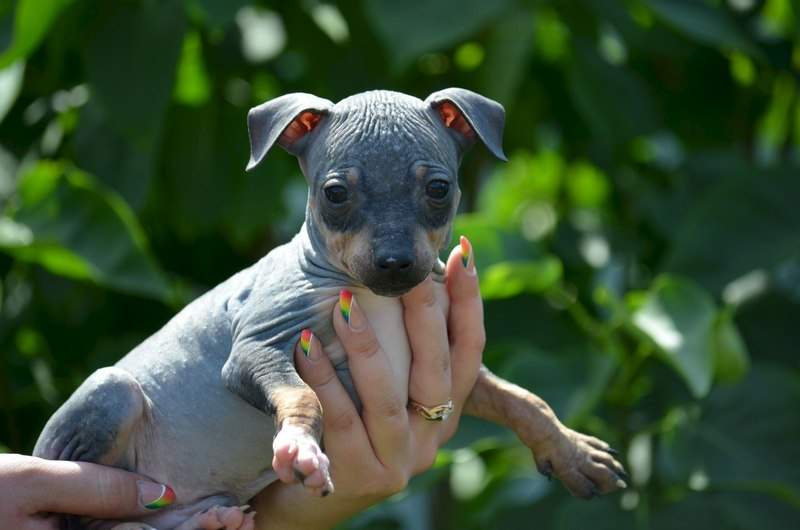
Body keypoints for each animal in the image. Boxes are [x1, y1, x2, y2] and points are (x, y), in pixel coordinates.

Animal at [34, 89, 626, 529]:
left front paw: (572, 452)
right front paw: (300, 446)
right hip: (110, 396)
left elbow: (523, 398)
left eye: (438, 188)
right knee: (79, 515)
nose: (394, 262)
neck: (373, 299)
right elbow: (304, 397)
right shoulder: (258, 347)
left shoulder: (454, 369)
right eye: (335, 194)